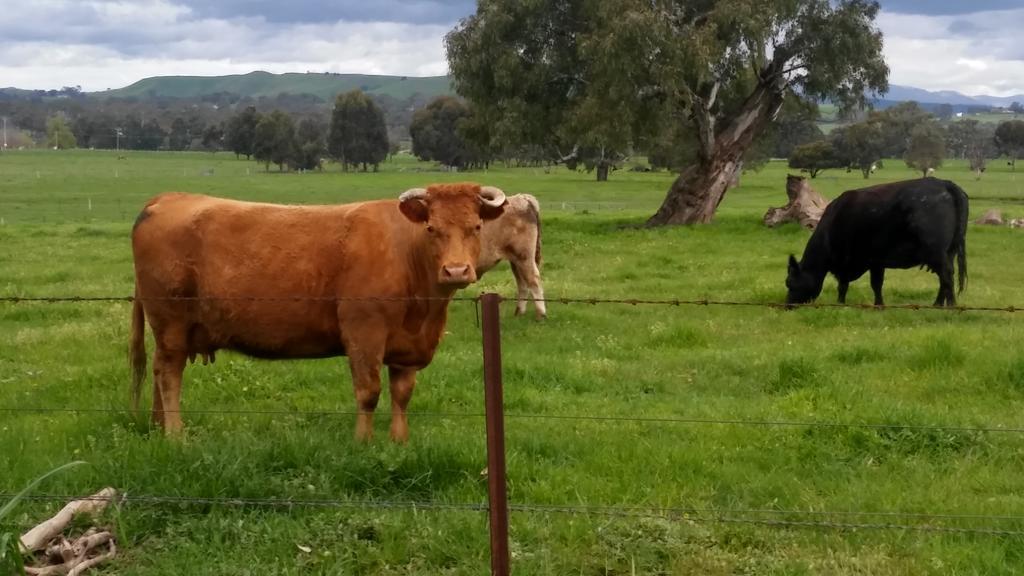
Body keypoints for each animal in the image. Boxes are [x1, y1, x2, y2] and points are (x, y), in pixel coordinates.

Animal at [130, 182, 509, 438]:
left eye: (476, 227)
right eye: (432, 228)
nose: (456, 271)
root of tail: (167, 198)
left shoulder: (407, 348)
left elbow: (402, 395)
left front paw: (399, 443)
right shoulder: (363, 332)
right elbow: (368, 392)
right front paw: (363, 442)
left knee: (160, 371)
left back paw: (158, 427)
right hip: (171, 322)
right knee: (168, 373)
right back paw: (176, 434)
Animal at [782, 177, 966, 307]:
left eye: (790, 283)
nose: (787, 305)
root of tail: (944, 184)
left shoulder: (856, 259)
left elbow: (855, 284)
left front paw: (844, 304)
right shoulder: (875, 261)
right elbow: (870, 284)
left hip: (936, 251)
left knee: (946, 275)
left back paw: (950, 306)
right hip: (948, 251)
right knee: (945, 277)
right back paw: (938, 304)